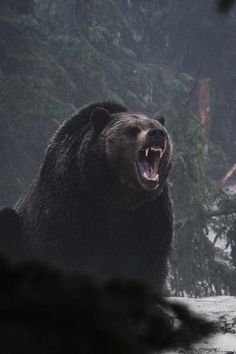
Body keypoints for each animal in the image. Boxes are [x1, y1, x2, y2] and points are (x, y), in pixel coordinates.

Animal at [15, 101, 173, 286]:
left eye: (159, 128)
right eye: (133, 130)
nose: (157, 134)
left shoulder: (150, 210)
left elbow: (148, 258)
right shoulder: (68, 197)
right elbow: (57, 246)